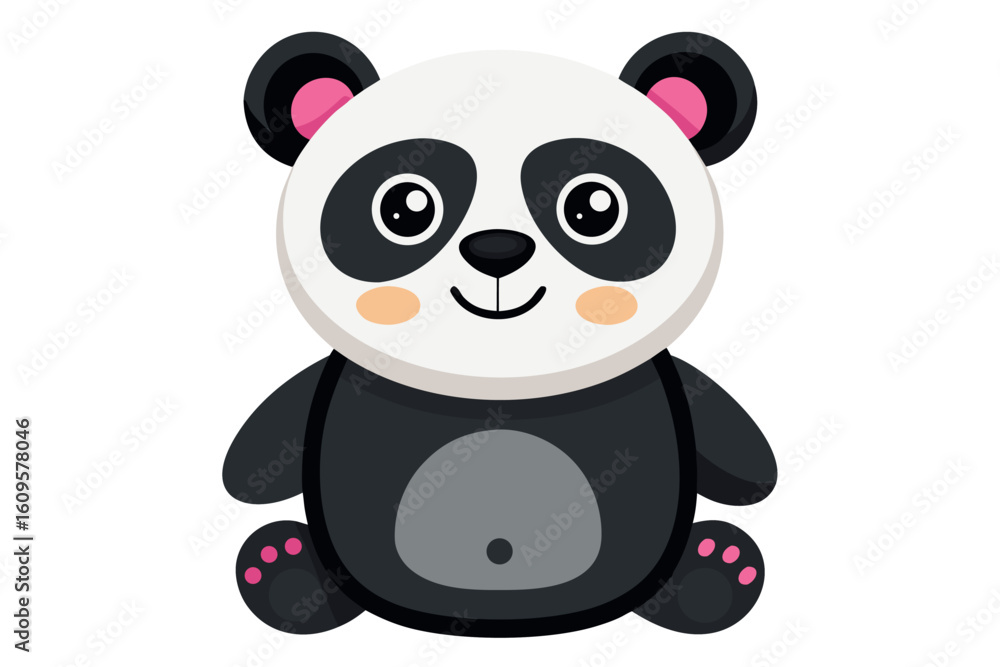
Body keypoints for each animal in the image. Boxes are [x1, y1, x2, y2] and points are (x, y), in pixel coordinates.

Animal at [224, 31, 777, 638]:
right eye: (404, 208)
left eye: (594, 206)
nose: (497, 250)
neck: (499, 381)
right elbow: (263, 447)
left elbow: (734, 444)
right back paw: (281, 567)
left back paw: (717, 568)